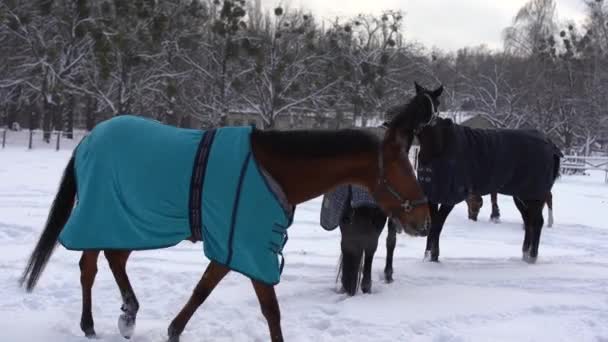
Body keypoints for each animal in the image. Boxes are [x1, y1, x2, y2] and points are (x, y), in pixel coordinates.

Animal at [20, 91, 436, 342]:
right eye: (403, 168)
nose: (424, 220)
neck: (271, 170)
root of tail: (88, 140)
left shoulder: (234, 246)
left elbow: (202, 291)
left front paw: (173, 330)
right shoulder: (246, 247)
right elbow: (271, 311)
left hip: (125, 222)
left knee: (111, 260)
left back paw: (126, 315)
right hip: (104, 216)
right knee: (90, 266)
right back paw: (94, 323)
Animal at [388, 81, 564, 264]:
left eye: (427, 104)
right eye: (413, 101)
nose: (400, 122)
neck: (440, 146)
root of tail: (550, 145)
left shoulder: (449, 197)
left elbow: (437, 225)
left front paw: (432, 256)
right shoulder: (432, 194)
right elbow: (433, 224)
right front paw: (429, 255)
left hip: (535, 196)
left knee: (537, 222)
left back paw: (532, 256)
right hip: (522, 195)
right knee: (529, 221)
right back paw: (525, 254)